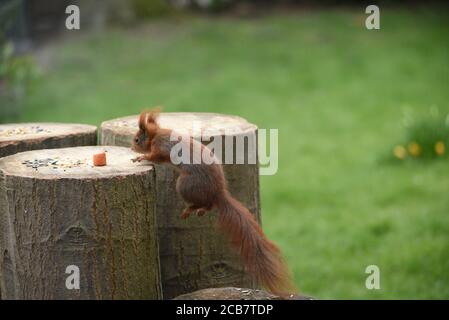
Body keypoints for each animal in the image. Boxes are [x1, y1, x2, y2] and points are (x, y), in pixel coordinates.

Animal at [131, 109, 296, 296]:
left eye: (137, 139)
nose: (131, 147)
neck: (156, 135)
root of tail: (218, 192)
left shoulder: (161, 148)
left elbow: (155, 156)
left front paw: (140, 158)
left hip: (184, 185)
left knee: (205, 202)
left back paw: (191, 209)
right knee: (209, 204)